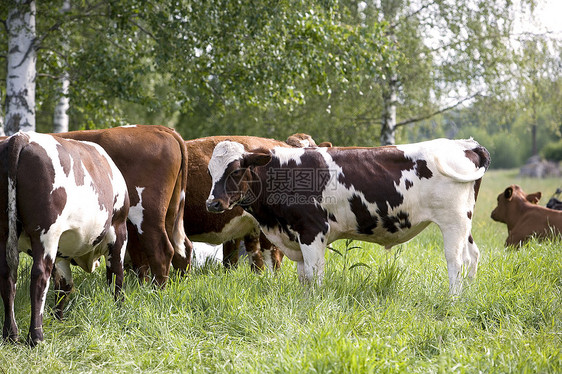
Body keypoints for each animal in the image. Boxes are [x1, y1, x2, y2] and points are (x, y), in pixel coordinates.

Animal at [0, 131, 129, 344]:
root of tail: (22, 137)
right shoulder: (118, 229)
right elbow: (116, 275)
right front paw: (119, 308)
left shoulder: (62, 251)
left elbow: (63, 284)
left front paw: (58, 319)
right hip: (46, 231)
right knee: (40, 276)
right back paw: (36, 336)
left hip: (4, 233)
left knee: (8, 275)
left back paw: (11, 334)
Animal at [55, 124, 190, 284]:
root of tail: (158, 128)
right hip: (171, 212)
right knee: (181, 248)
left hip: (147, 215)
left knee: (161, 251)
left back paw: (157, 288)